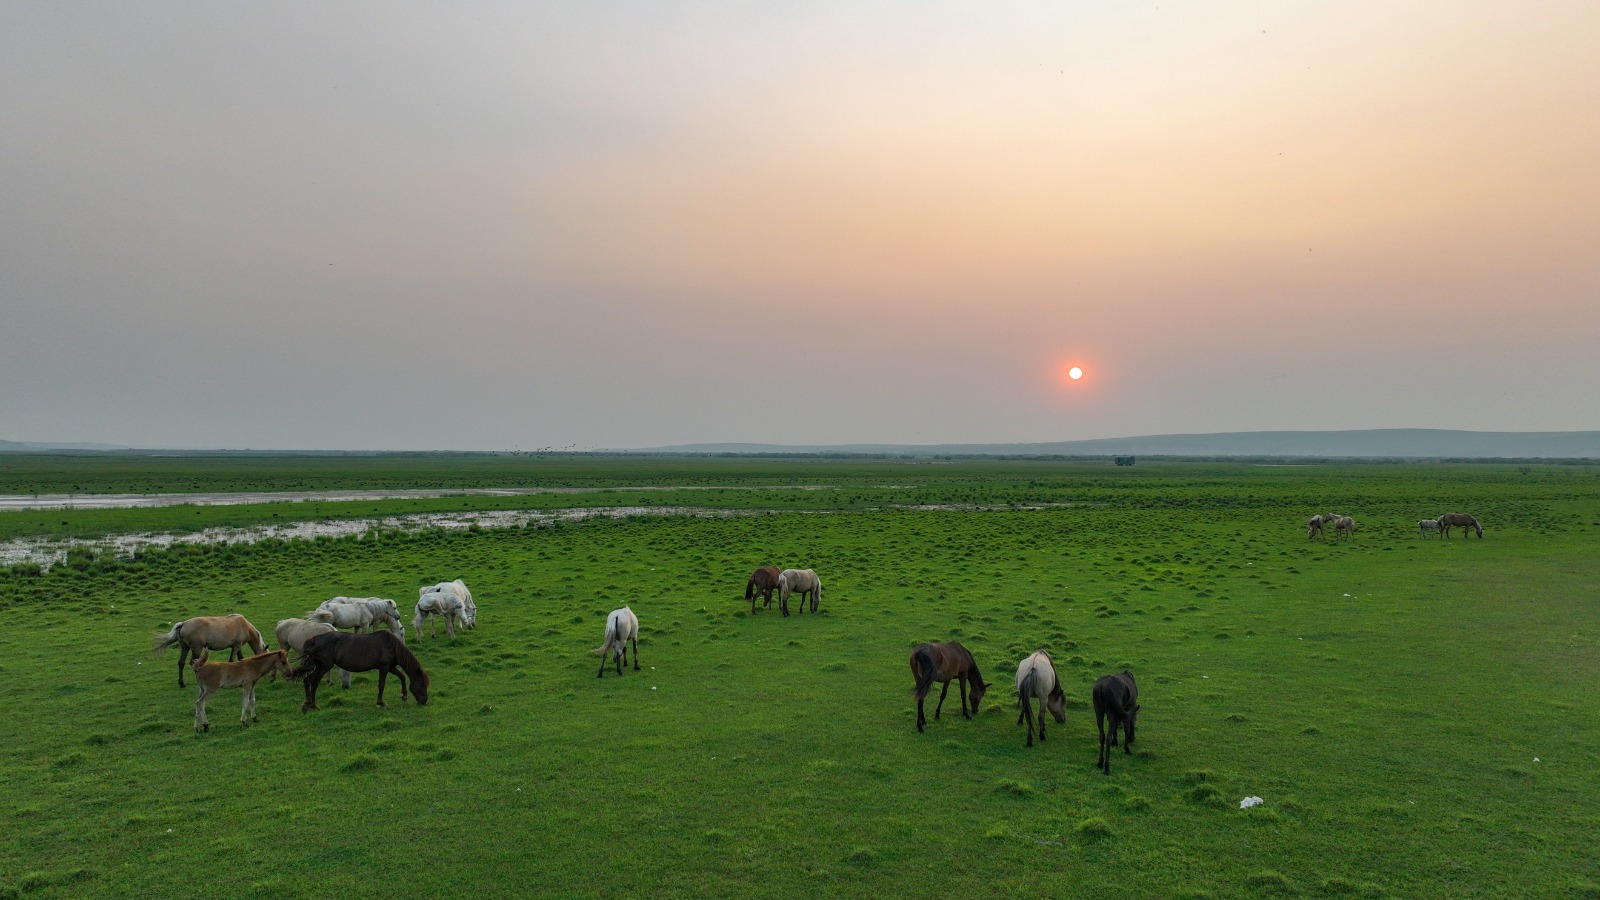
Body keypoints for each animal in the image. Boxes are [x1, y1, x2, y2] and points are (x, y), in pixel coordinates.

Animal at [288, 627, 425, 711]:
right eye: (422, 685)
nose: (424, 701)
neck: (391, 645)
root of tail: (314, 639)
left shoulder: (390, 667)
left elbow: (402, 677)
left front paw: (404, 696)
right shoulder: (384, 667)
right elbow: (382, 685)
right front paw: (381, 703)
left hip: (320, 665)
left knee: (307, 680)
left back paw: (307, 704)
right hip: (325, 666)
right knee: (313, 681)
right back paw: (313, 705)